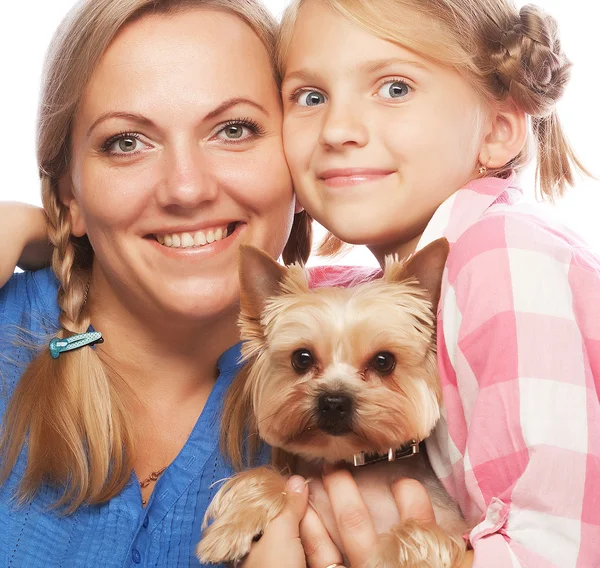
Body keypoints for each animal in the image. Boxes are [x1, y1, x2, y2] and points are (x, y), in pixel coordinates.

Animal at [199, 240, 466, 568]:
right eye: (301, 358)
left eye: (384, 361)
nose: (334, 401)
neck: (355, 463)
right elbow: (272, 476)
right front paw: (232, 526)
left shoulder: (452, 530)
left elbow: (417, 529)